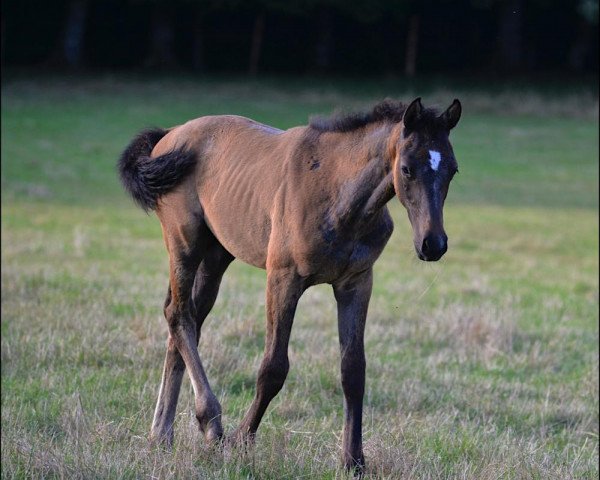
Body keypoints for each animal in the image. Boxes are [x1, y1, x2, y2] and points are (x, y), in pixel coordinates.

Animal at [119, 96, 462, 472]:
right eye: (407, 169)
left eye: (453, 170)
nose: (433, 244)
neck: (336, 192)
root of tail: (171, 134)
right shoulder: (283, 278)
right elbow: (273, 368)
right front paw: (240, 442)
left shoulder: (356, 282)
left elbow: (353, 371)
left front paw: (353, 460)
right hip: (185, 243)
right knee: (179, 314)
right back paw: (211, 425)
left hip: (216, 256)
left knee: (185, 321)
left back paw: (161, 435)